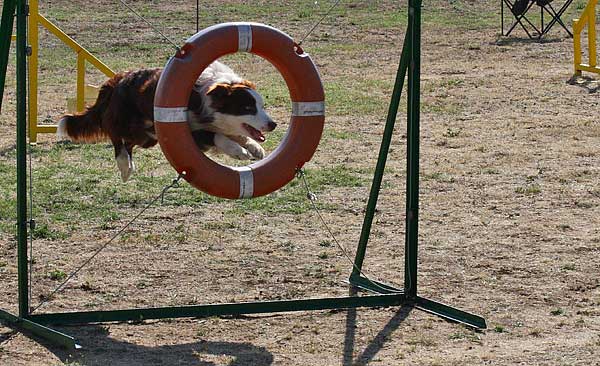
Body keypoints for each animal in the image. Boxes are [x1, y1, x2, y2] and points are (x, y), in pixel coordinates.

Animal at [57, 62, 278, 183]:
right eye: (247, 108)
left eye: (261, 105)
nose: (273, 124)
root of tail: (117, 79)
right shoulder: (189, 132)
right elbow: (215, 135)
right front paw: (238, 150)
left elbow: (235, 133)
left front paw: (255, 147)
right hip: (126, 122)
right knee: (116, 136)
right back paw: (124, 166)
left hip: (147, 136)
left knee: (129, 144)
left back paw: (128, 167)